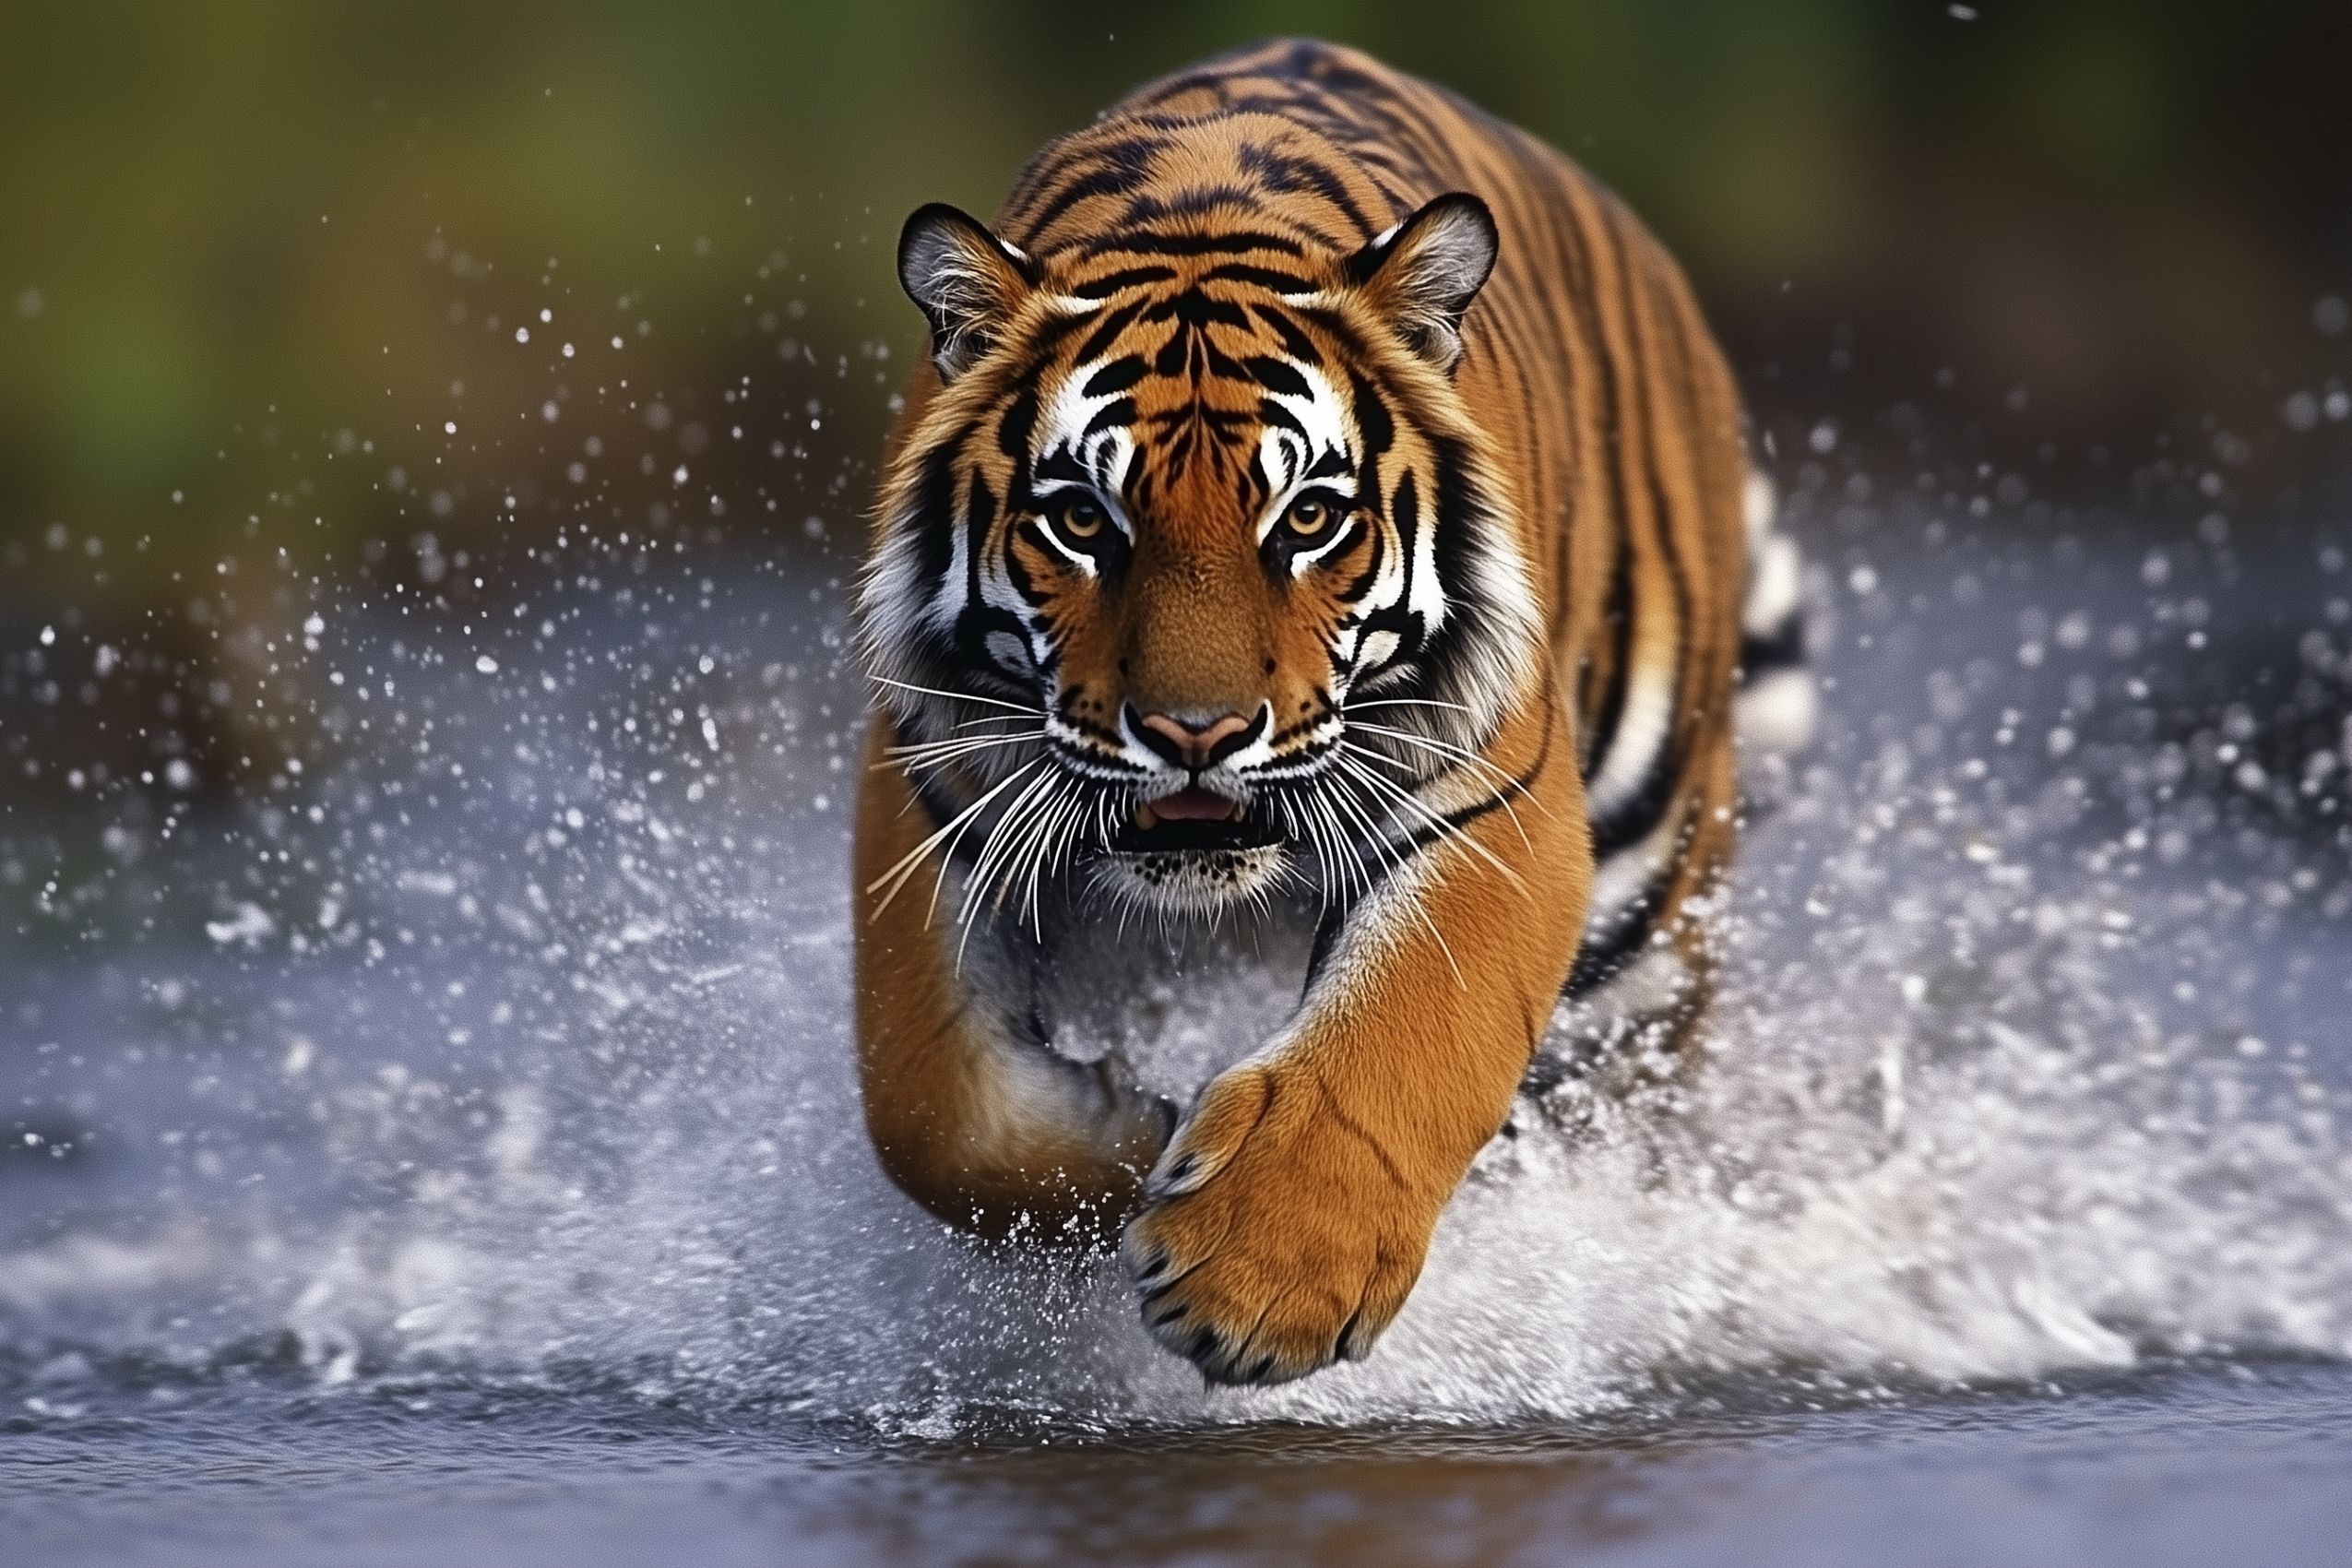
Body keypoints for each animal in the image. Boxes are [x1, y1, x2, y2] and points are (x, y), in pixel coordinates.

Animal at [850, 38, 1814, 1387]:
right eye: (1083, 519)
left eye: (1307, 517)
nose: (1194, 734)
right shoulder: (935, 780)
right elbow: (930, 1106)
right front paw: (1128, 1140)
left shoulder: (1493, 801)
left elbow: (1402, 1032)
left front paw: (1258, 1283)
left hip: (1649, 913)